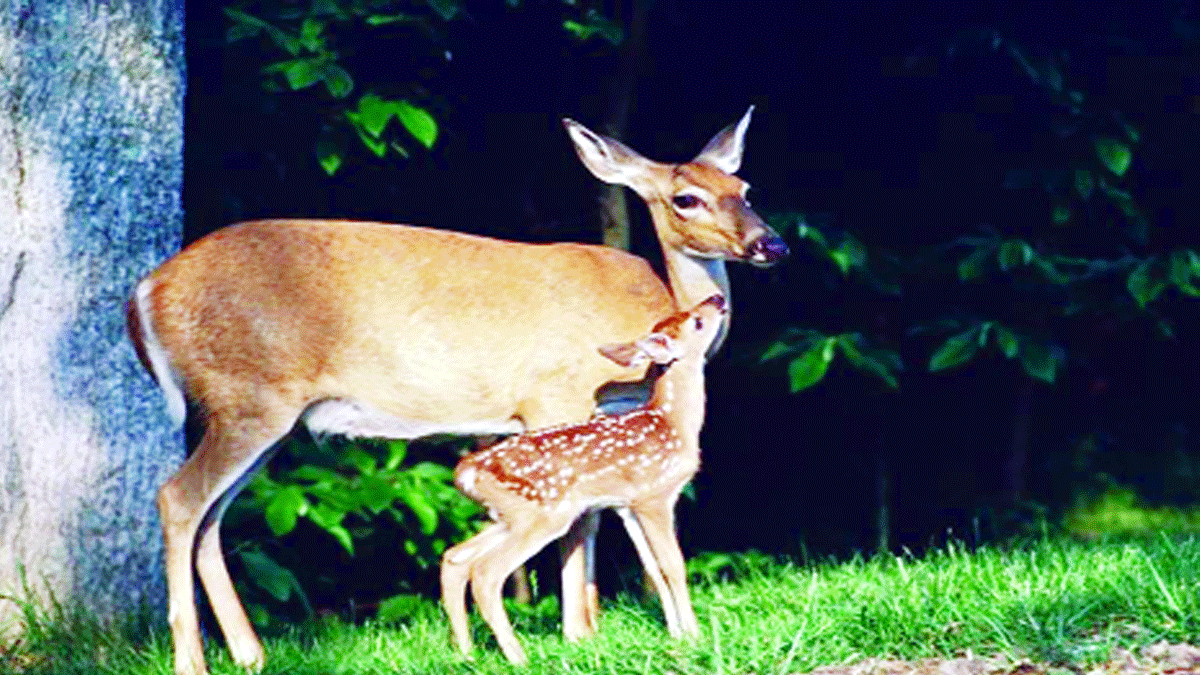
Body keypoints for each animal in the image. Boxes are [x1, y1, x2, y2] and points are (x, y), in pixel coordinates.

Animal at [441, 294, 720, 662]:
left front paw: (677, 636)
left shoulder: (626, 505)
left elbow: (653, 568)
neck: (673, 423)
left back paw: (466, 654)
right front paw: (695, 636)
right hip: (545, 515)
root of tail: (467, 470)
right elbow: (673, 565)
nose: (718, 299)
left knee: (455, 558)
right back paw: (518, 658)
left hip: (511, 516)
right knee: (486, 572)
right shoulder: (654, 496)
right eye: (696, 322)